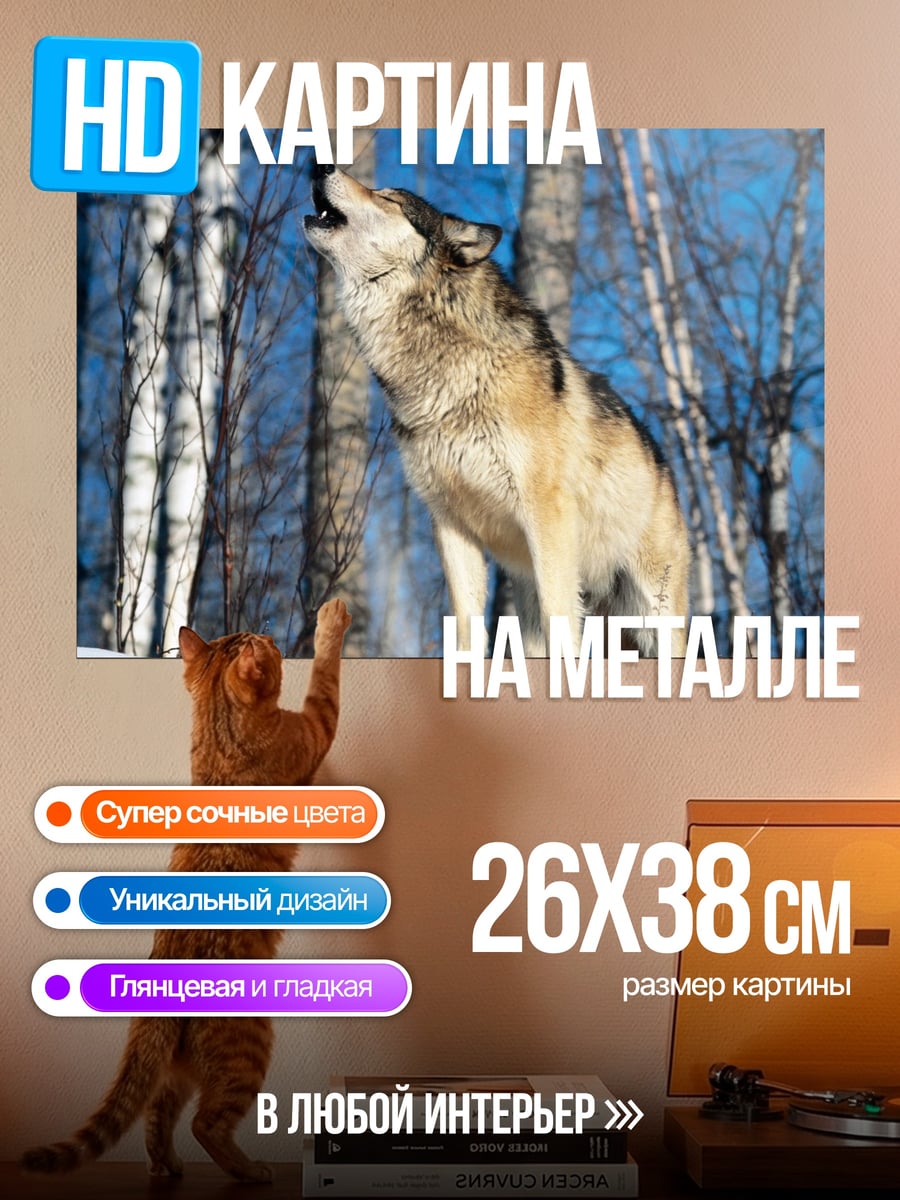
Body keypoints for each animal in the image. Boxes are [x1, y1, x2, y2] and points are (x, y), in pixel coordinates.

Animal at [304, 165, 690, 656]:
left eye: (388, 198)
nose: (320, 165)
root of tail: (666, 471)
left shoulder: (546, 515)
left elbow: (561, 617)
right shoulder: (450, 525)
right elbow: (466, 627)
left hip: (653, 612)